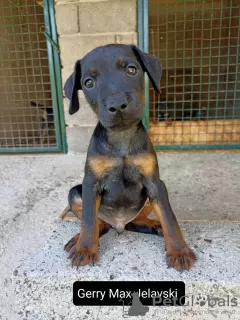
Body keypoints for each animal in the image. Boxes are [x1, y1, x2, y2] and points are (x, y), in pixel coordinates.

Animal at [62, 43, 196, 272]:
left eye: (131, 70)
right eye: (88, 83)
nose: (117, 105)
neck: (122, 138)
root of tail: (118, 224)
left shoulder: (154, 183)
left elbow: (169, 217)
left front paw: (179, 251)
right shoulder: (90, 184)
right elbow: (88, 221)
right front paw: (85, 249)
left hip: (149, 199)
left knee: (137, 221)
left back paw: (154, 225)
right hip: (75, 193)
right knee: (99, 224)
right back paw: (78, 240)